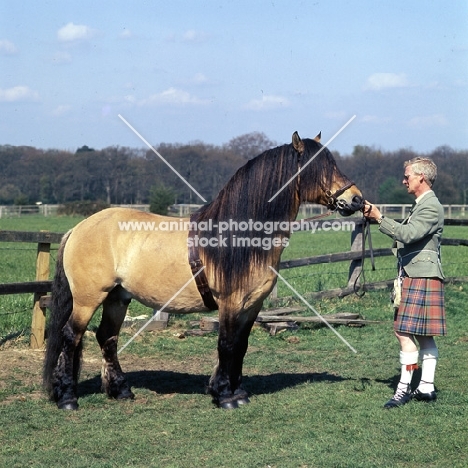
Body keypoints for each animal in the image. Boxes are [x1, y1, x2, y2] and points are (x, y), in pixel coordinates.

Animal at [44, 131, 364, 410]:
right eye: (321, 167)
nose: (357, 199)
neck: (239, 237)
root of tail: (78, 228)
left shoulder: (253, 305)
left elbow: (241, 345)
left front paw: (238, 392)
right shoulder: (230, 302)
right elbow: (226, 344)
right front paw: (224, 396)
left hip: (117, 297)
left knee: (106, 338)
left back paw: (121, 390)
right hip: (88, 298)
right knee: (71, 336)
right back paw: (68, 397)